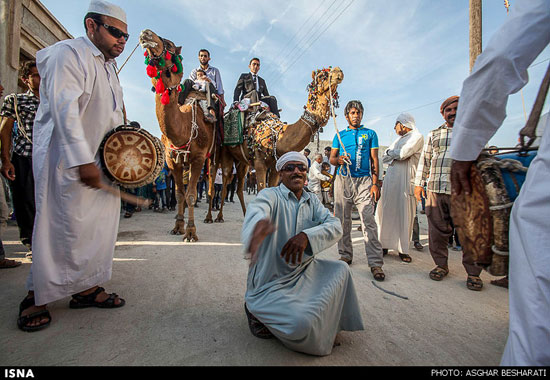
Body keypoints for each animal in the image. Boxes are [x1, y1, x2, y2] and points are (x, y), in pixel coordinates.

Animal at [140, 30, 216, 243]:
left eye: (169, 44)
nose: (146, 33)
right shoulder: (172, 158)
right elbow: (180, 193)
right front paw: (178, 227)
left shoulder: (198, 157)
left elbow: (191, 195)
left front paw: (190, 232)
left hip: (215, 157)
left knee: (212, 188)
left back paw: (212, 217)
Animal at [209, 66, 342, 223]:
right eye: (322, 76)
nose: (338, 72)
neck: (277, 137)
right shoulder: (259, 163)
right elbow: (261, 191)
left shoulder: (275, 166)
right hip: (223, 154)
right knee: (220, 182)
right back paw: (213, 217)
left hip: (243, 162)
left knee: (238, 186)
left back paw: (245, 214)